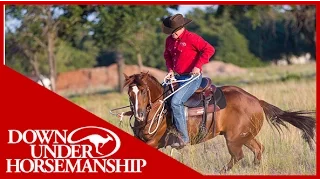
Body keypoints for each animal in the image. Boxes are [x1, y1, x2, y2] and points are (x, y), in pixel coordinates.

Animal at [119, 71, 316, 173]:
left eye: (143, 91)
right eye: (130, 92)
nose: (139, 114)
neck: (159, 108)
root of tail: (256, 100)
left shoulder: (153, 142)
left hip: (234, 139)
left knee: (238, 156)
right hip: (244, 136)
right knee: (258, 150)